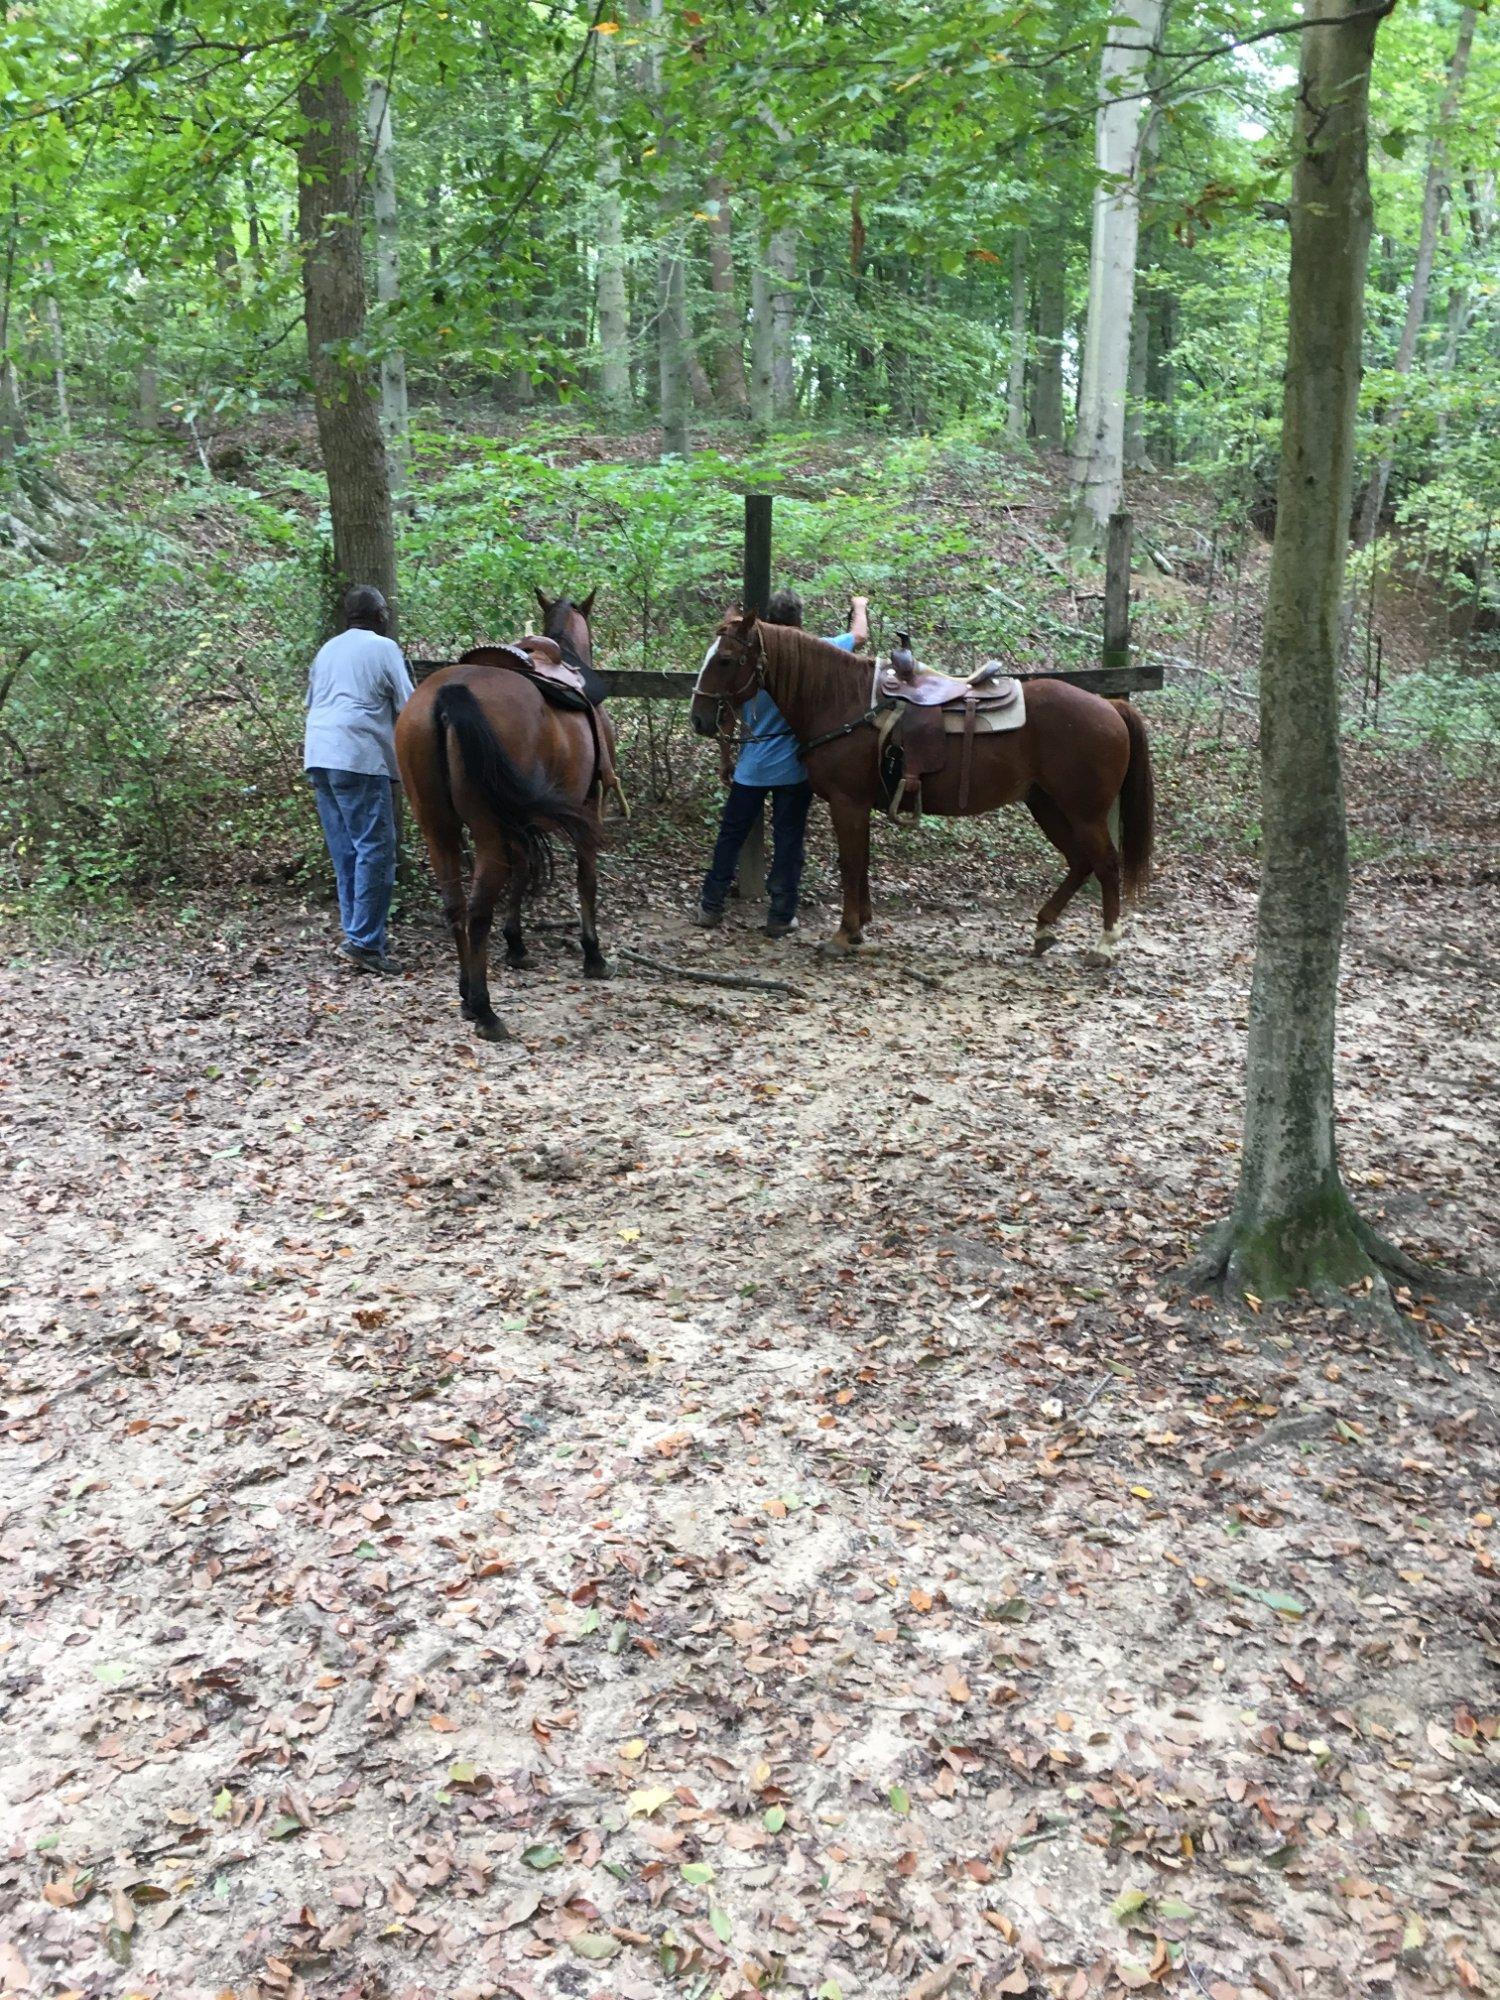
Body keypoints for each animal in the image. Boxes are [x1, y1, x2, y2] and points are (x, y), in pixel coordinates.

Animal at [400, 588, 616, 1048]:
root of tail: (449, 694)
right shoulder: (590, 808)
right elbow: (585, 880)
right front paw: (592, 953)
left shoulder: (521, 822)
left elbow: (523, 872)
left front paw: (516, 945)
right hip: (487, 831)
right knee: (478, 910)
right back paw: (485, 1010)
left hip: (438, 827)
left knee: (455, 905)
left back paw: (466, 994)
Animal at [688, 608, 1160, 952]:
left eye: (725, 660)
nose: (699, 719)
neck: (843, 702)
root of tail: (1111, 705)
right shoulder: (858, 804)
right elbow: (861, 862)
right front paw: (859, 927)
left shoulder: (847, 801)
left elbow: (850, 863)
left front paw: (843, 934)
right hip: (1046, 804)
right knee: (1080, 862)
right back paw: (1044, 929)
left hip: (1084, 811)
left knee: (1106, 863)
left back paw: (1104, 945)